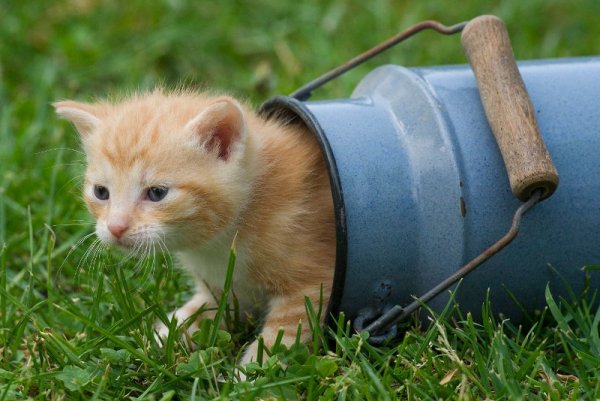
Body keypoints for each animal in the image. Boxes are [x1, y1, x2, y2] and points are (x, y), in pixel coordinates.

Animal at [54, 90, 336, 366]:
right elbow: (200, 311)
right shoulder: (224, 286)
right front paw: (160, 338)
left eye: (157, 193)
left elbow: (283, 335)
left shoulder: (311, 284)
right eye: (101, 192)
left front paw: (249, 373)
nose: (115, 227)